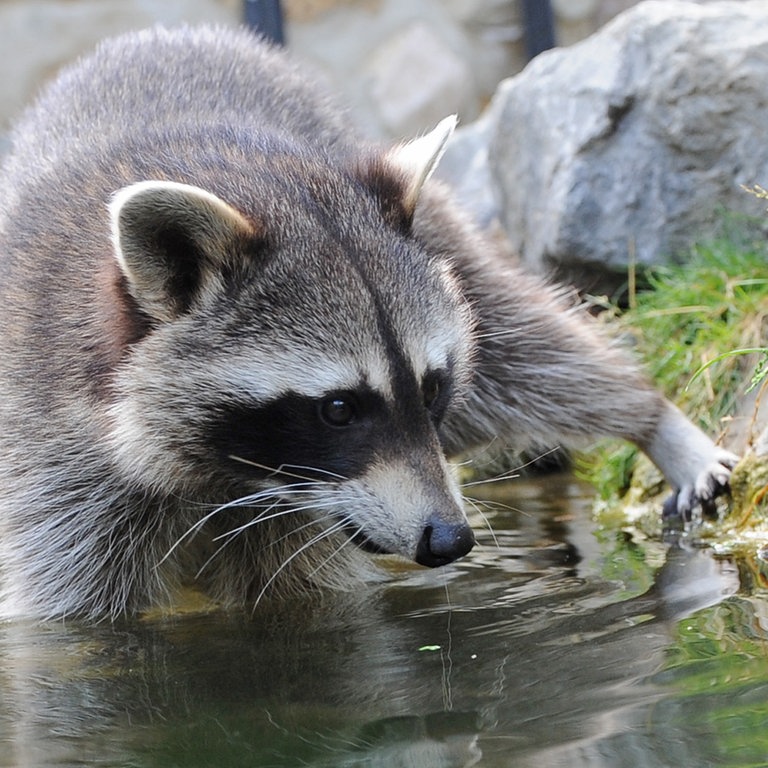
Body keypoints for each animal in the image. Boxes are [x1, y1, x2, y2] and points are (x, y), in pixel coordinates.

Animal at [0, 27, 736, 620]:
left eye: (432, 387)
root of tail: (165, 34)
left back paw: (649, 416)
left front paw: (648, 417)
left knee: (529, 346)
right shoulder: (49, 458)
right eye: (337, 408)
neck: (226, 476)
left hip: (437, 231)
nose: (450, 539)